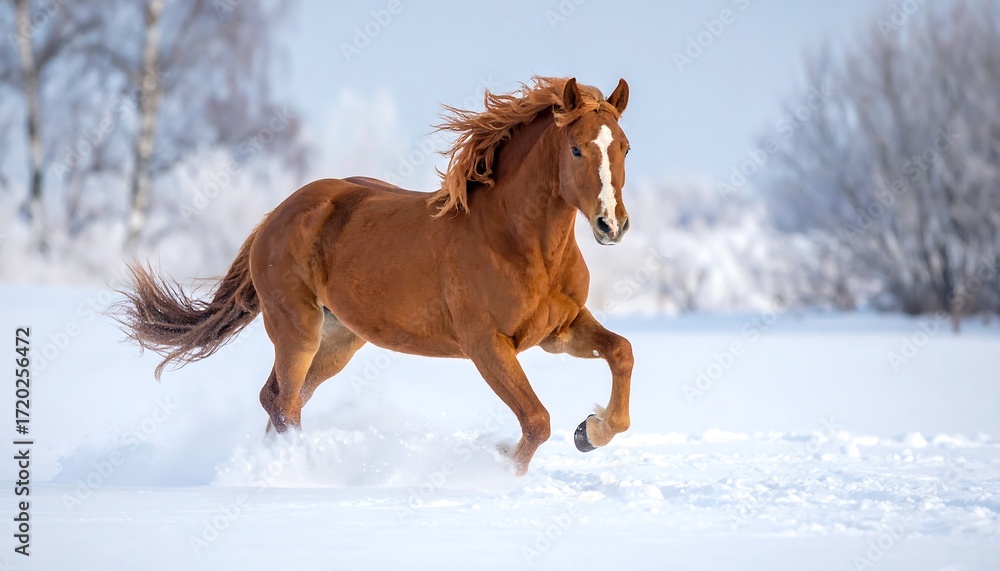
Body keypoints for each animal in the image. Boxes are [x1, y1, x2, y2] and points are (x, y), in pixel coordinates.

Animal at [117, 76, 634, 475]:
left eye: (625, 147)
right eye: (576, 150)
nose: (611, 225)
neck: (517, 243)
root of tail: (276, 215)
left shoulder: (558, 331)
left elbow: (621, 352)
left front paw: (591, 431)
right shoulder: (486, 344)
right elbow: (536, 420)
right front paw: (500, 471)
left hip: (337, 340)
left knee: (278, 398)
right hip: (297, 329)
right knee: (284, 405)